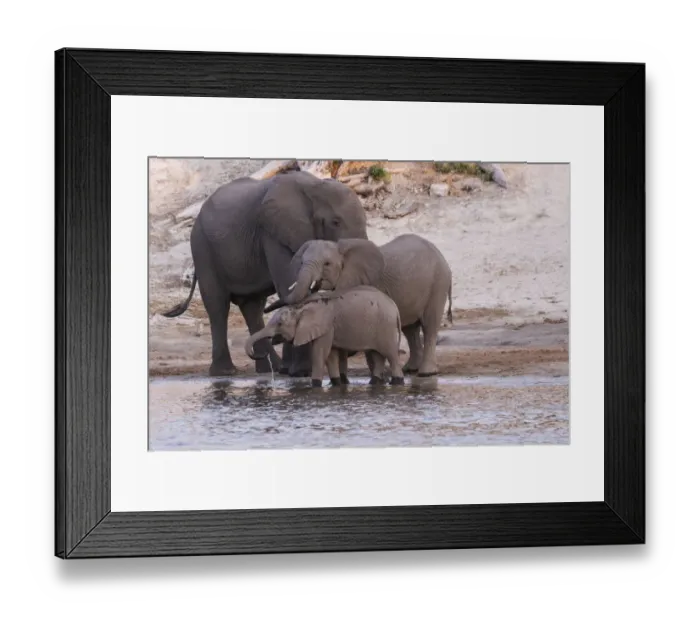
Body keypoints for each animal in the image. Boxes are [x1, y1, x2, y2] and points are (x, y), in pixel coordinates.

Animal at [161, 170, 368, 377]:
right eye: (335, 222)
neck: (315, 186)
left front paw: (292, 372)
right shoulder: (274, 235)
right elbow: (289, 286)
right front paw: (302, 373)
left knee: (252, 307)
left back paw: (271, 369)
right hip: (202, 248)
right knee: (218, 305)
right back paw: (226, 373)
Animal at [245, 286, 405, 387]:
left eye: (279, 323)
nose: (260, 354)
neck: (302, 308)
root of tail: (395, 307)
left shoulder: (326, 327)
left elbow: (319, 354)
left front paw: (315, 385)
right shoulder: (328, 329)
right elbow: (331, 355)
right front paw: (335, 384)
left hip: (385, 326)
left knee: (391, 354)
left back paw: (397, 382)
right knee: (378, 355)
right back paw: (374, 383)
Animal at [265, 233, 452, 377]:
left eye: (327, 264)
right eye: (301, 262)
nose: (316, 285)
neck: (341, 248)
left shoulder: (369, 283)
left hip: (439, 283)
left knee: (429, 326)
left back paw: (426, 373)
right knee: (410, 329)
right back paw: (410, 370)